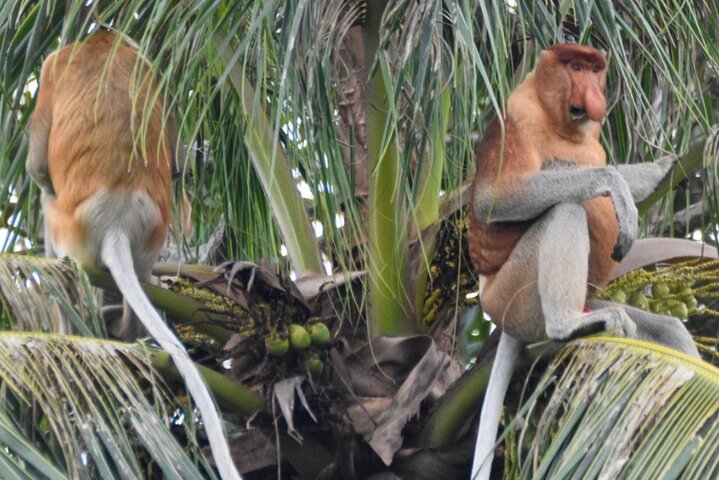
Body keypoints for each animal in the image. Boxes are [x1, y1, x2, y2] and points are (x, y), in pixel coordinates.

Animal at [26, 31, 242, 480]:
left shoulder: (53, 66)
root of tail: (117, 220)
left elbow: (37, 168)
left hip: (66, 227)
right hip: (150, 236)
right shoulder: (155, 70)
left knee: (47, 203)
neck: (102, 43)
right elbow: (178, 161)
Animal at [466, 44, 699, 480]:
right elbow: (494, 198)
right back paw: (568, 325)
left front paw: (666, 167)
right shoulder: (517, 116)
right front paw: (614, 186)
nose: (593, 94)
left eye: (595, 70)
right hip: (516, 297)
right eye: (574, 67)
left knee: (667, 330)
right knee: (566, 208)